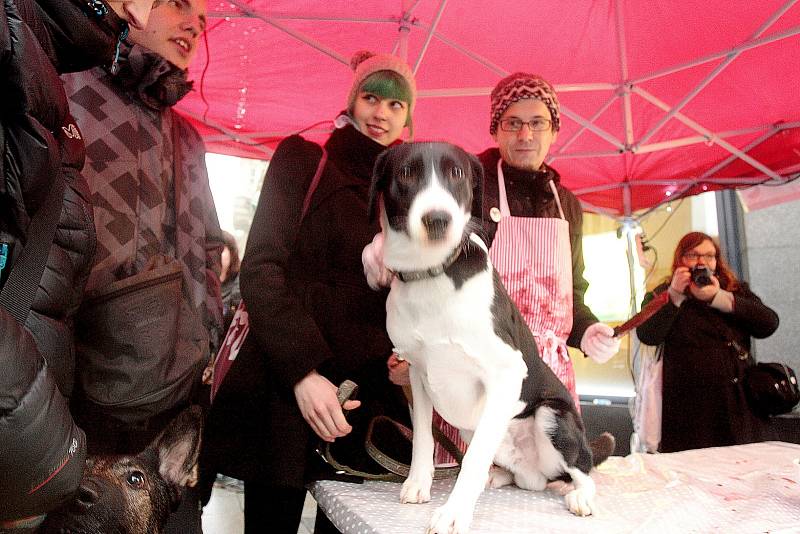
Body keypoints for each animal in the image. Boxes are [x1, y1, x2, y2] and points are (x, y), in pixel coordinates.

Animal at [372, 143, 608, 534]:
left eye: (457, 174)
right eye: (406, 173)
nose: (437, 219)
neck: (433, 273)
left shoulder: (506, 371)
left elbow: (473, 459)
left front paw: (454, 512)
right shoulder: (417, 375)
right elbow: (422, 438)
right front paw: (418, 484)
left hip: (552, 415)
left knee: (583, 470)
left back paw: (579, 496)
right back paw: (496, 477)